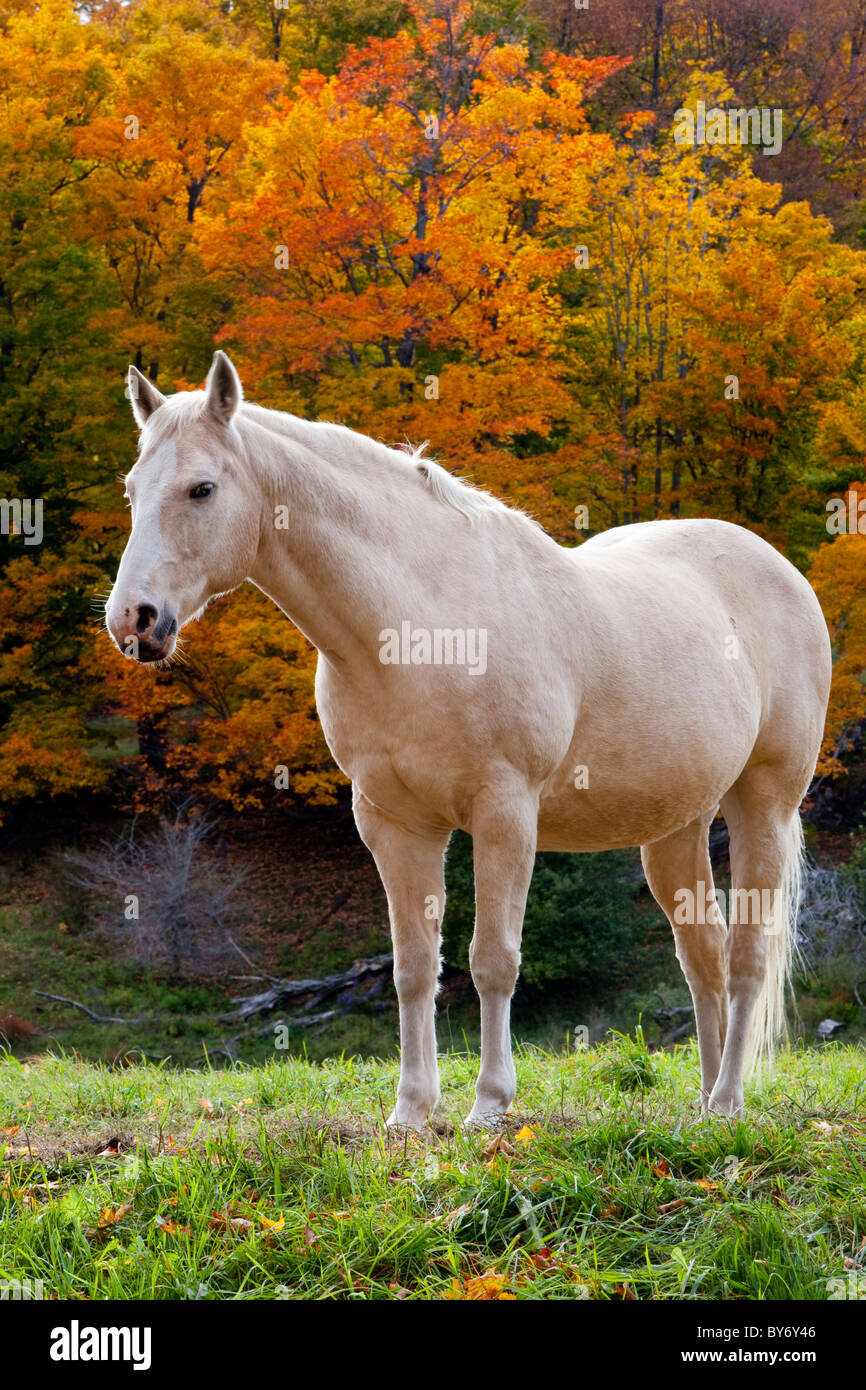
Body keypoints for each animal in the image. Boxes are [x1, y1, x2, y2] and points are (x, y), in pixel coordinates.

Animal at [106, 351, 832, 1128]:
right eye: (131, 491)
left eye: (202, 488)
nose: (133, 621)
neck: (420, 626)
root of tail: (781, 571)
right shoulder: (395, 823)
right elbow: (415, 967)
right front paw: (411, 1113)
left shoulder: (504, 813)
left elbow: (493, 960)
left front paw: (490, 1105)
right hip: (676, 825)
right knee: (703, 953)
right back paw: (700, 1105)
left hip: (762, 804)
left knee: (747, 955)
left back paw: (727, 1102)